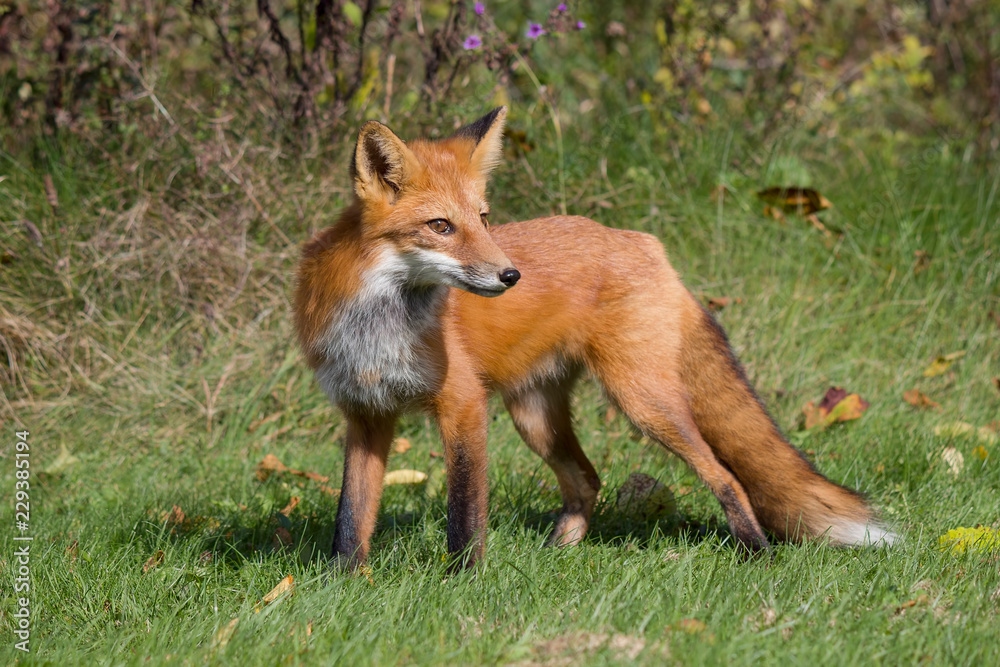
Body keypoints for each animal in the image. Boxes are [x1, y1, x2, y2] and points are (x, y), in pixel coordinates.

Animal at [292, 107, 896, 568]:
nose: (511, 276)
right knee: (587, 481)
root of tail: (644, 242)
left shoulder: (462, 404)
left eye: (483, 218)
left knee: (725, 475)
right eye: (441, 226)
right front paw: (344, 583)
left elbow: (465, 513)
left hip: (645, 404)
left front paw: (462, 580)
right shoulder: (366, 413)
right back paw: (557, 556)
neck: (378, 325)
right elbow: (351, 517)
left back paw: (758, 553)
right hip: (535, 416)